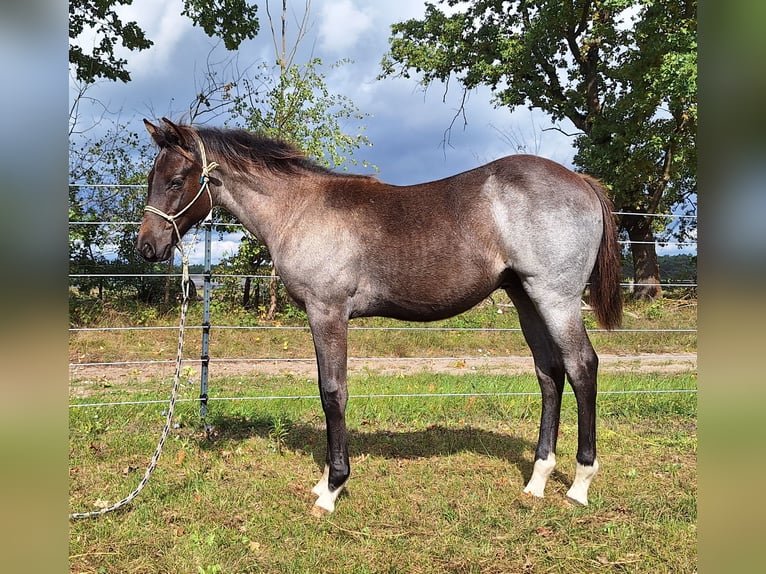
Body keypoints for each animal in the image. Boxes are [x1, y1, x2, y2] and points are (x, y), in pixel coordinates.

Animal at [137, 117, 622, 516]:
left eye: (177, 180)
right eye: (151, 179)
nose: (147, 247)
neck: (300, 210)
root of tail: (581, 181)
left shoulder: (328, 312)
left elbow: (333, 392)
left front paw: (332, 488)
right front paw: (324, 482)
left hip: (555, 298)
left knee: (582, 367)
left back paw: (580, 483)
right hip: (526, 298)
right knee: (549, 374)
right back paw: (538, 479)